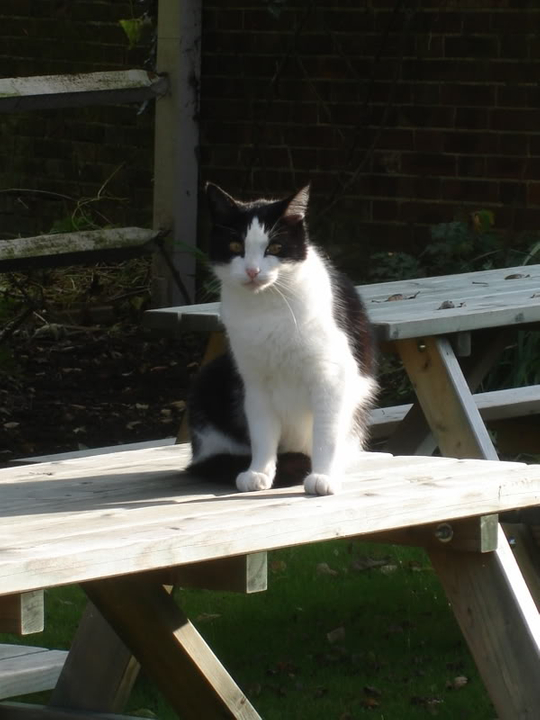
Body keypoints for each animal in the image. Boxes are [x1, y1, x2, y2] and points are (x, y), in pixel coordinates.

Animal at [188, 183, 378, 496]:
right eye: (235, 247)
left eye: (275, 248)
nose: (253, 271)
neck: (268, 308)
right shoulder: (254, 381)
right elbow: (262, 432)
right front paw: (258, 472)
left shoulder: (331, 376)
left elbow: (326, 434)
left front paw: (323, 476)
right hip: (210, 377)